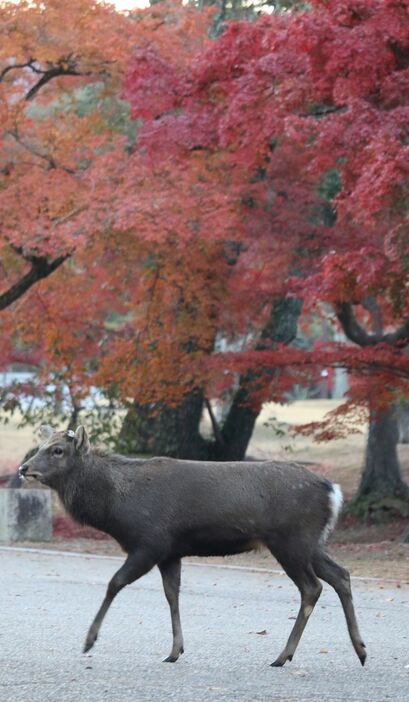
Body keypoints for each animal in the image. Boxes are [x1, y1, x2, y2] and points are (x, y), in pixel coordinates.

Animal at [18, 426, 366, 668]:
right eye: (41, 447)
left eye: (58, 450)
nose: (23, 469)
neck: (117, 509)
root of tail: (333, 491)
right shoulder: (171, 552)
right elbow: (173, 594)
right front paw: (175, 651)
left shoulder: (150, 542)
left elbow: (115, 583)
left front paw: (89, 641)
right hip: (310, 543)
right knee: (341, 575)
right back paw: (360, 650)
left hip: (290, 539)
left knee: (312, 587)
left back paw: (283, 655)